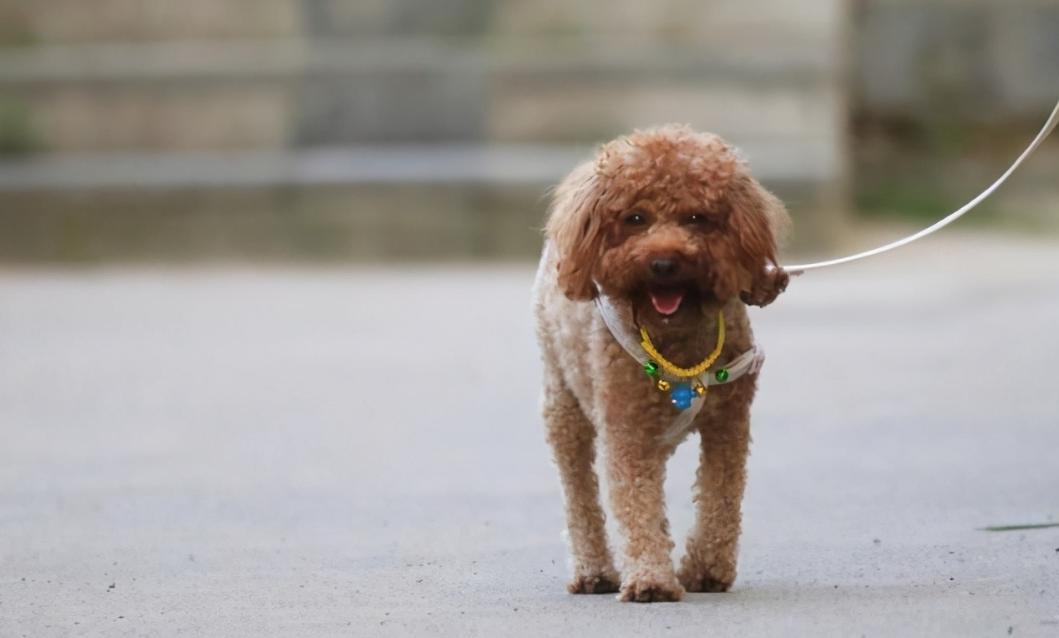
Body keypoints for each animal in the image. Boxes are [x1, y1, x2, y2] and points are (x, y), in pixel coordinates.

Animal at [533, 125, 792, 601]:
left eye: (697, 218)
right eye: (635, 218)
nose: (664, 263)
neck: (676, 340)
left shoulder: (729, 426)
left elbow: (720, 497)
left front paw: (706, 569)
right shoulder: (627, 431)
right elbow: (636, 503)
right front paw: (651, 579)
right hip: (564, 405)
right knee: (578, 491)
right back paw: (593, 571)